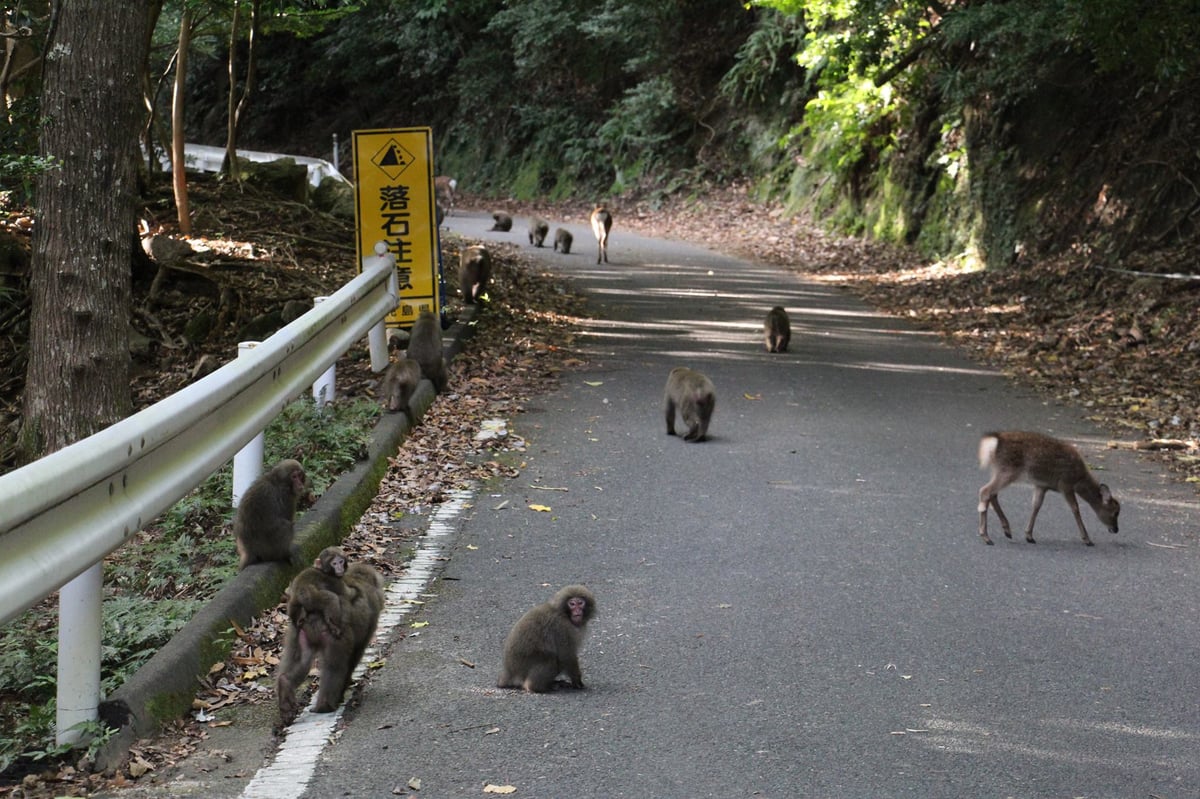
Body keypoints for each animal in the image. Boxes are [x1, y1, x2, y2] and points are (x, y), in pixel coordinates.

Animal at [276, 556, 384, 719]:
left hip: (298, 630)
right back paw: (325, 706)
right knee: (335, 667)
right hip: (336, 634)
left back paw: (285, 686)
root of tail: (314, 616)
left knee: (303, 660)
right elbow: (354, 656)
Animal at [979, 429, 1118, 547]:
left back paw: (1007, 531)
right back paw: (986, 537)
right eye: (1115, 512)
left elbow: (1036, 506)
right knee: (985, 491)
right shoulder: (1065, 484)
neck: (1079, 480)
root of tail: (994, 441)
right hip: (1008, 471)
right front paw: (1087, 540)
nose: (1116, 529)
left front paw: (1029, 536)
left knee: (993, 494)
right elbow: (1075, 508)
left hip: (998, 470)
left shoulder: (1042, 485)